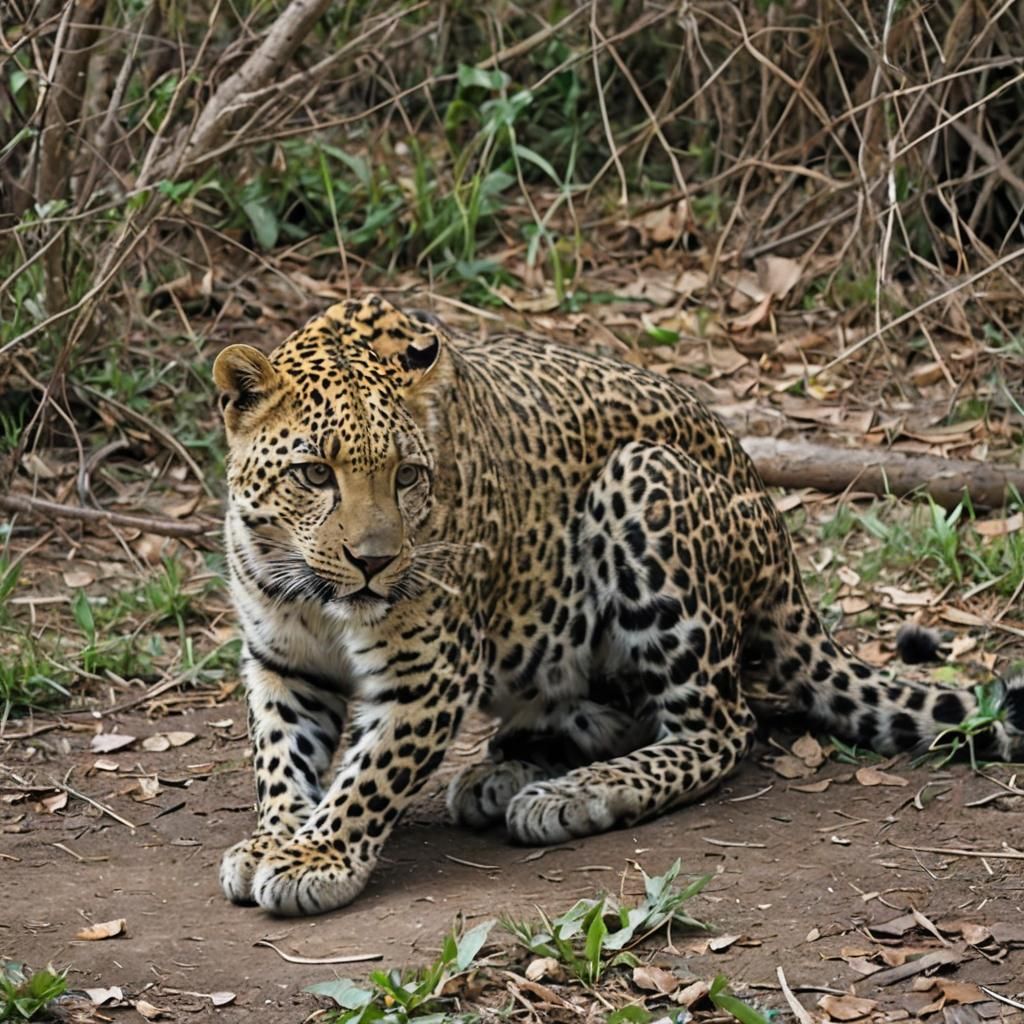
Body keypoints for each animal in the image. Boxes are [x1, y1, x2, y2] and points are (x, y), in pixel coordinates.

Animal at [213, 293, 1024, 917]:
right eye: (314, 474)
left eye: (409, 476)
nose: (374, 563)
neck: (319, 598)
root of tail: (780, 538)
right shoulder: (281, 660)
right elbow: (280, 756)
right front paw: (275, 838)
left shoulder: (428, 674)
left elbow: (372, 773)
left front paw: (317, 857)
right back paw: (511, 772)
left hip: (644, 487)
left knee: (723, 728)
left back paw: (580, 792)